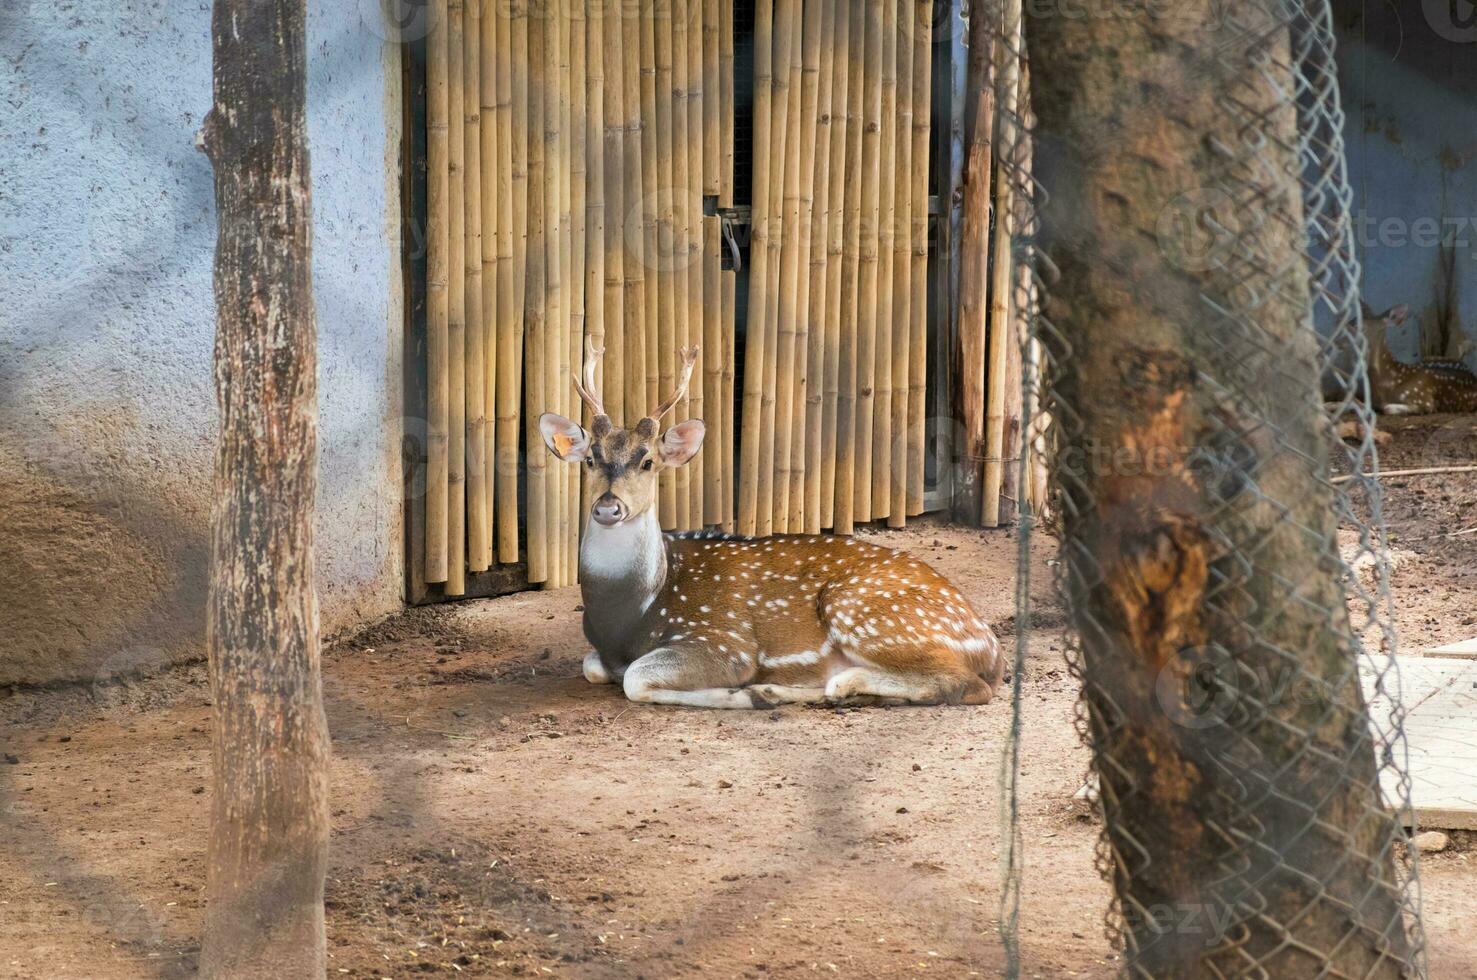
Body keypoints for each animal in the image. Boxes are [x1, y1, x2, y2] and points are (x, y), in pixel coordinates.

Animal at [537, 340, 1010, 708]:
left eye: (649, 461)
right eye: (590, 459)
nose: (608, 508)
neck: (632, 611)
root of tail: (991, 648)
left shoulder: (722, 640)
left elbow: (635, 678)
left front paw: (747, 693)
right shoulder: (601, 651)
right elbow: (594, 667)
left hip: (862, 611)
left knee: (968, 685)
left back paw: (824, 686)